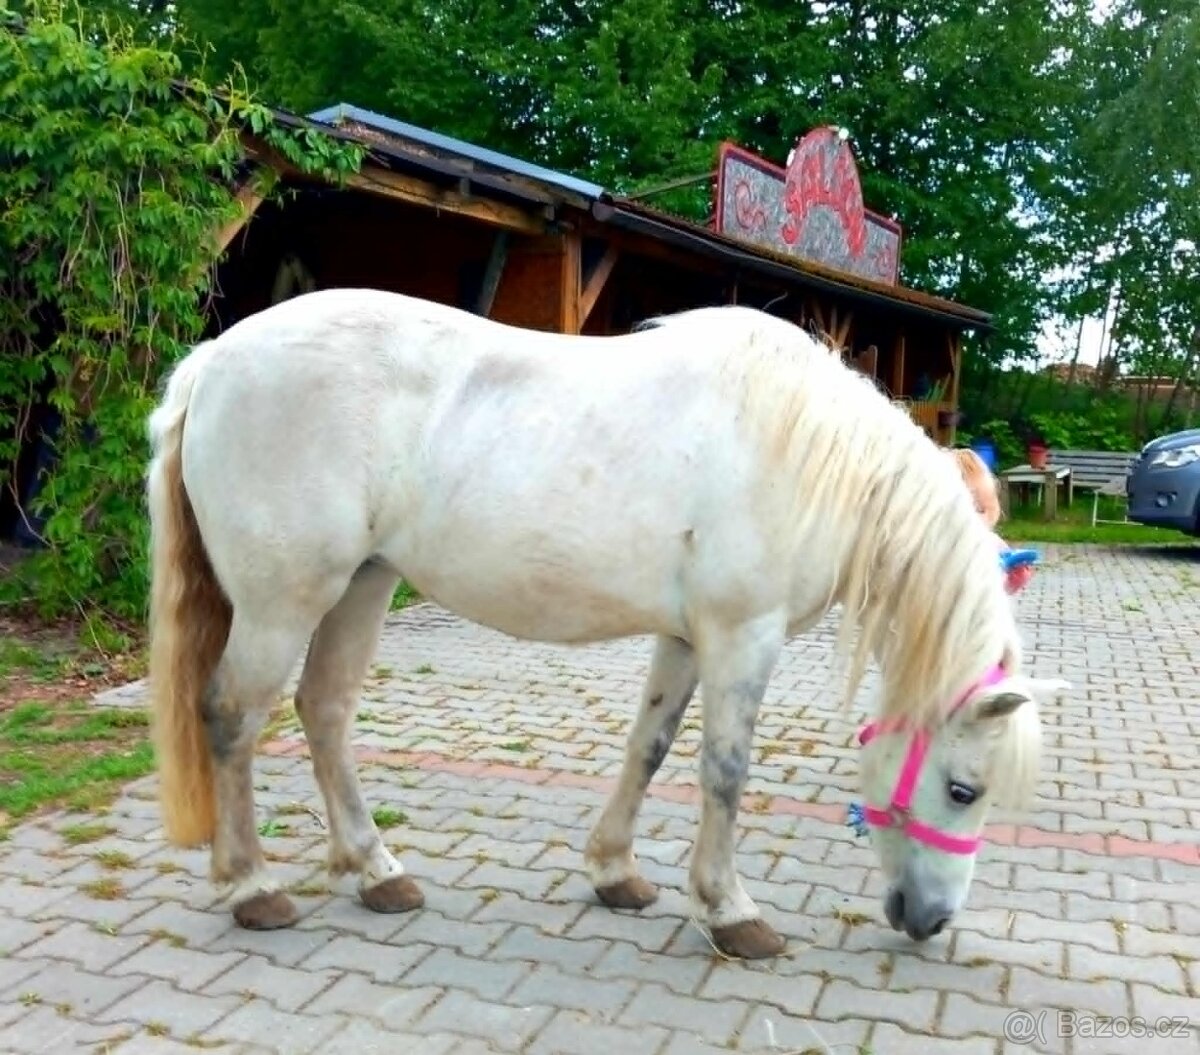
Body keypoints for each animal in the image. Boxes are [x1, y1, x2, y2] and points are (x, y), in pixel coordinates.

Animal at [145, 287, 1068, 959]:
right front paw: (731, 910)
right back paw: (252, 886)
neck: (811, 456)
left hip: (361, 587)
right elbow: (724, 772)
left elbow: (648, 748)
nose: (931, 919)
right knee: (232, 716)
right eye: (964, 788)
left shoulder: (689, 637)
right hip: (283, 602)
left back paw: (376, 871)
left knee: (325, 712)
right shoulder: (744, 636)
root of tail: (214, 359)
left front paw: (616, 872)